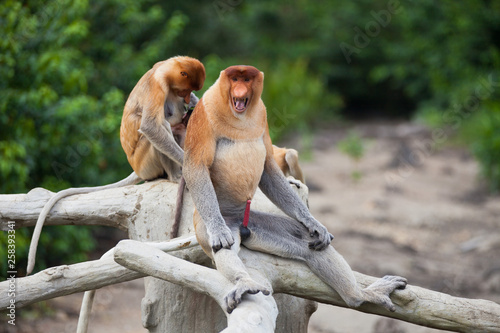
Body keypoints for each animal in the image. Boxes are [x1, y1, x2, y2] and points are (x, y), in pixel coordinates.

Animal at [24, 55, 205, 274]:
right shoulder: (158, 86)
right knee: (159, 127)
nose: (186, 100)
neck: (165, 72)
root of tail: (136, 168)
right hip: (145, 161)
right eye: (184, 91)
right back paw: (175, 176)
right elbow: (150, 127)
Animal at [184, 65, 406, 314]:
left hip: (253, 223)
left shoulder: (262, 114)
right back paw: (244, 282)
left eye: (247, 79)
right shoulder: (204, 113)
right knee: (224, 247)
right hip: (207, 225)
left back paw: (360, 295)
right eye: (235, 79)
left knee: (307, 244)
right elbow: (196, 166)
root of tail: (241, 223)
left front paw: (313, 222)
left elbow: (268, 166)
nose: (240, 90)